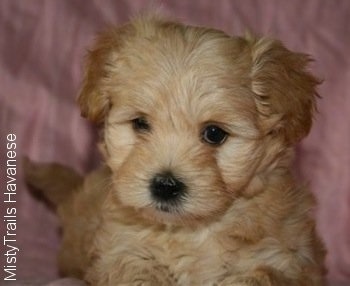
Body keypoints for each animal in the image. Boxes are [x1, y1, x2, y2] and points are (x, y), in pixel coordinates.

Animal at [24, 15, 326, 286]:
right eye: (141, 123)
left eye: (214, 133)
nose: (165, 186)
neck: (191, 231)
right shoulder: (122, 249)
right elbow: (136, 271)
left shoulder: (283, 260)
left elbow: (257, 275)